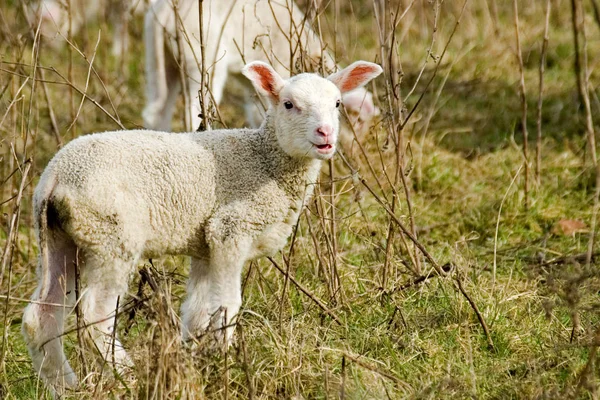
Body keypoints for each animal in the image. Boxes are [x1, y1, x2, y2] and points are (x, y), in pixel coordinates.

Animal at [21, 59, 382, 394]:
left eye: (337, 104)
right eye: (289, 104)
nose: (325, 134)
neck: (267, 161)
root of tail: (55, 177)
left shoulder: (205, 246)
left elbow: (196, 312)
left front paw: (195, 364)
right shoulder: (229, 229)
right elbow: (227, 305)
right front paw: (222, 365)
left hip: (58, 236)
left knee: (42, 315)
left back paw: (65, 386)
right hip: (111, 234)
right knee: (96, 312)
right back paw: (128, 374)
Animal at [144, 0, 380, 133]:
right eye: (358, 121)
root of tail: (167, 11)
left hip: (159, 58)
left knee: (157, 110)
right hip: (204, 58)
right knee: (194, 113)